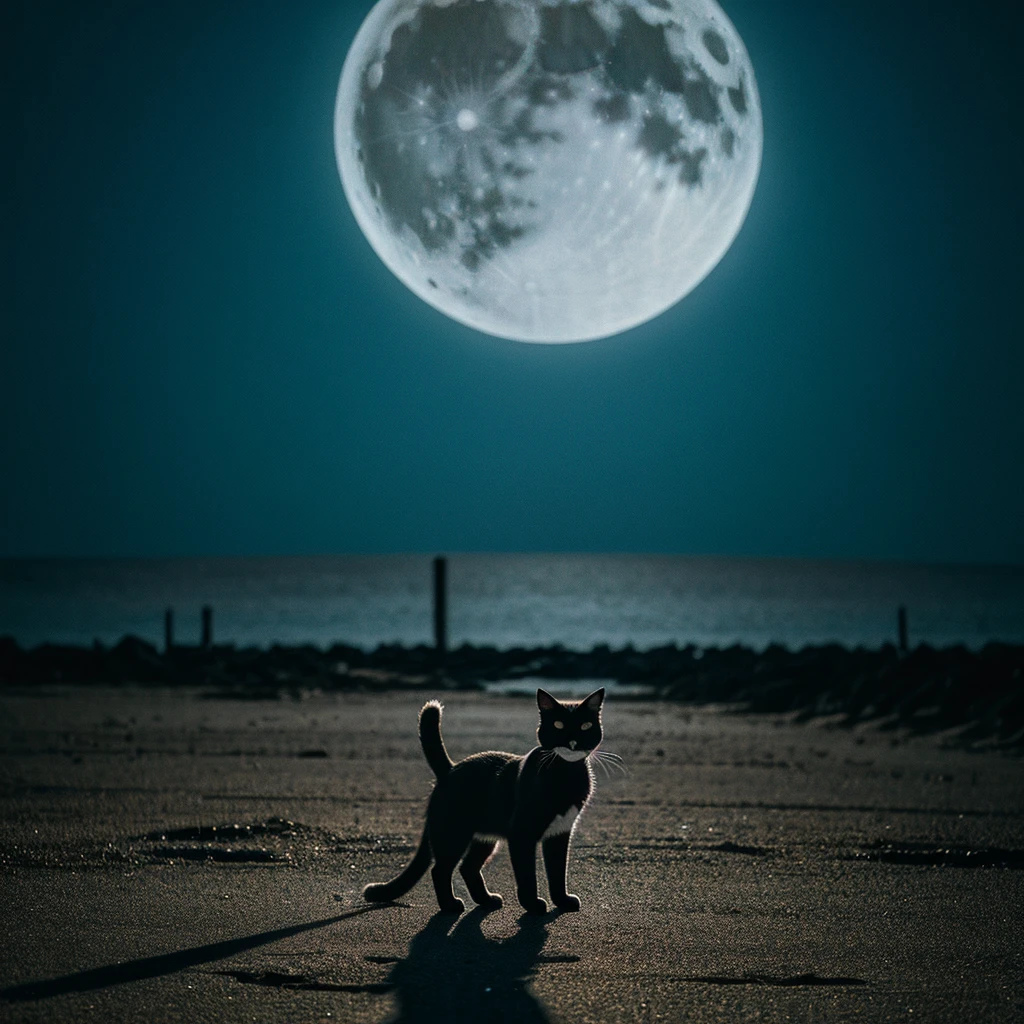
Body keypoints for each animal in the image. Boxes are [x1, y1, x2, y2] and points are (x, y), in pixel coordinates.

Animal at [366, 688, 606, 913]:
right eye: (558, 724)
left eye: (585, 725)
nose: (572, 742)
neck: (566, 774)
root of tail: (450, 769)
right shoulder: (521, 833)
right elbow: (527, 873)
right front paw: (532, 905)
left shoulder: (560, 832)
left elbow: (557, 870)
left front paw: (563, 901)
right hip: (453, 833)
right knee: (440, 869)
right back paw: (450, 905)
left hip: (484, 836)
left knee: (468, 867)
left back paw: (486, 899)